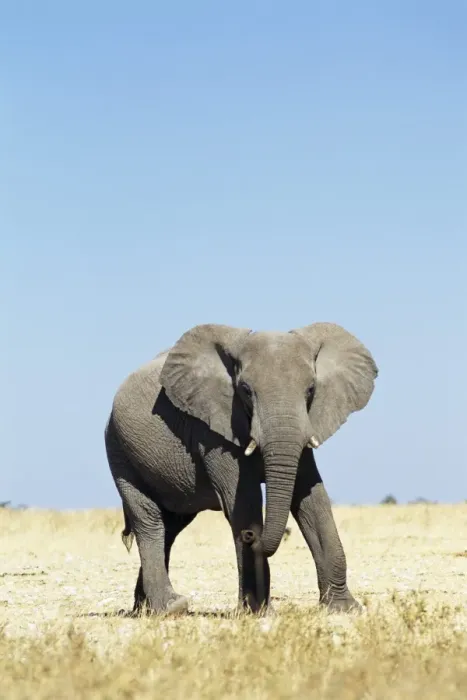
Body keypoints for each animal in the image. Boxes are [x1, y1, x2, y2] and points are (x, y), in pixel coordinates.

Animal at [104, 322, 378, 615]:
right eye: (245, 390)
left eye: (311, 389)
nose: (249, 536)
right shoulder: (212, 429)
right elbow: (244, 502)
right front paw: (258, 613)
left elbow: (313, 500)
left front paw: (345, 609)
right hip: (120, 450)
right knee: (149, 521)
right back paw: (169, 607)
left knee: (172, 526)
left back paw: (143, 609)